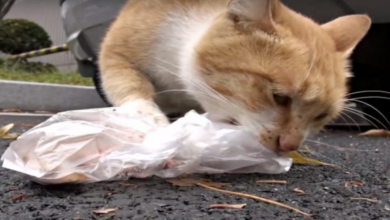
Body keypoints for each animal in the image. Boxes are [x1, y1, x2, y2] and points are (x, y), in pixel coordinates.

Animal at [98, 0, 372, 153]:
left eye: (321, 116)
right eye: (279, 97)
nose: (290, 146)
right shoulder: (114, 53)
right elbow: (128, 82)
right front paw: (146, 114)